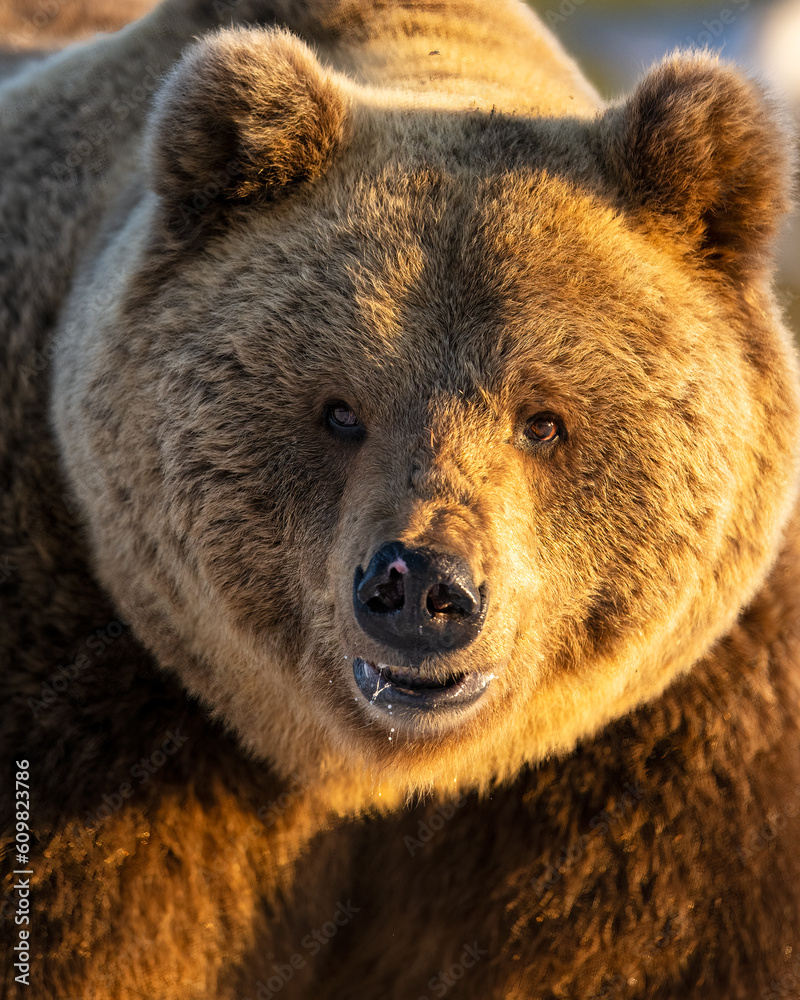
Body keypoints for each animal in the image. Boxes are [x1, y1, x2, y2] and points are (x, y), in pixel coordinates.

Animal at [2, 0, 800, 997]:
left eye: (543, 418)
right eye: (341, 409)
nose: (421, 585)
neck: (366, 778)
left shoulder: (676, 758)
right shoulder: (84, 701)